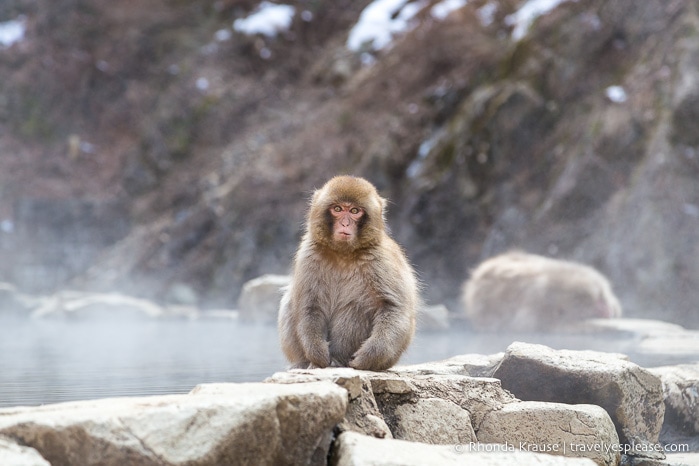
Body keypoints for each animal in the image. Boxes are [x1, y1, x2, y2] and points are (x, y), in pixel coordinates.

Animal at [278, 175, 422, 372]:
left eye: (355, 211)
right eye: (338, 209)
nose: (345, 223)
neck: (343, 253)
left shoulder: (382, 259)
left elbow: (393, 307)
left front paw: (368, 357)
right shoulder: (308, 255)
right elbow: (309, 306)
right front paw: (317, 354)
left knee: (357, 306)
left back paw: (339, 359)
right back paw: (305, 363)